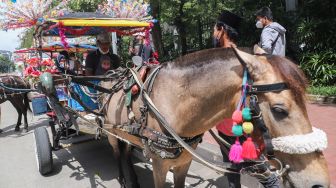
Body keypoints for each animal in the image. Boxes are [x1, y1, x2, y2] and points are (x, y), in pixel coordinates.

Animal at [102, 48, 328, 188]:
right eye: (279, 109)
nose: (320, 182)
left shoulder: (184, 161)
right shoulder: (159, 165)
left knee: (127, 152)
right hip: (110, 131)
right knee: (117, 153)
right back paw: (122, 178)